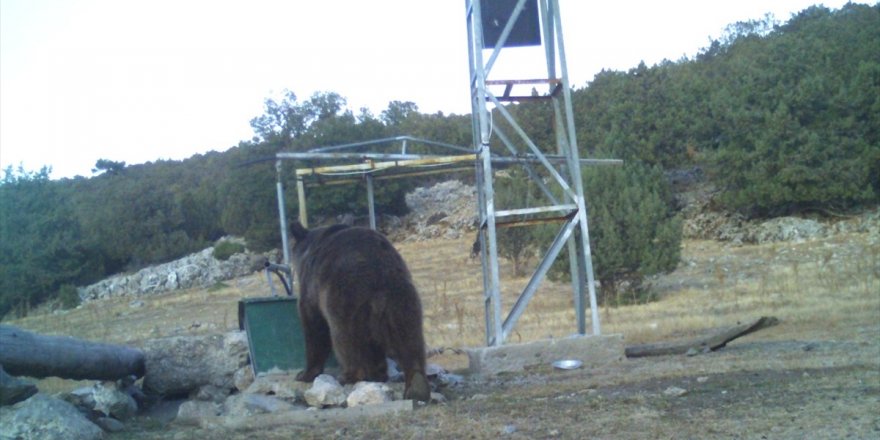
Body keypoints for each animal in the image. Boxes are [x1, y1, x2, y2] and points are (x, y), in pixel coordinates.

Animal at [290, 220, 432, 402]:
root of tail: (379, 269)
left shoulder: (311, 288)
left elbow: (314, 327)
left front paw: (305, 373)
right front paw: (378, 373)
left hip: (344, 298)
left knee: (345, 339)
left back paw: (348, 376)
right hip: (401, 300)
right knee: (409, 339)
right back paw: (417, 386)